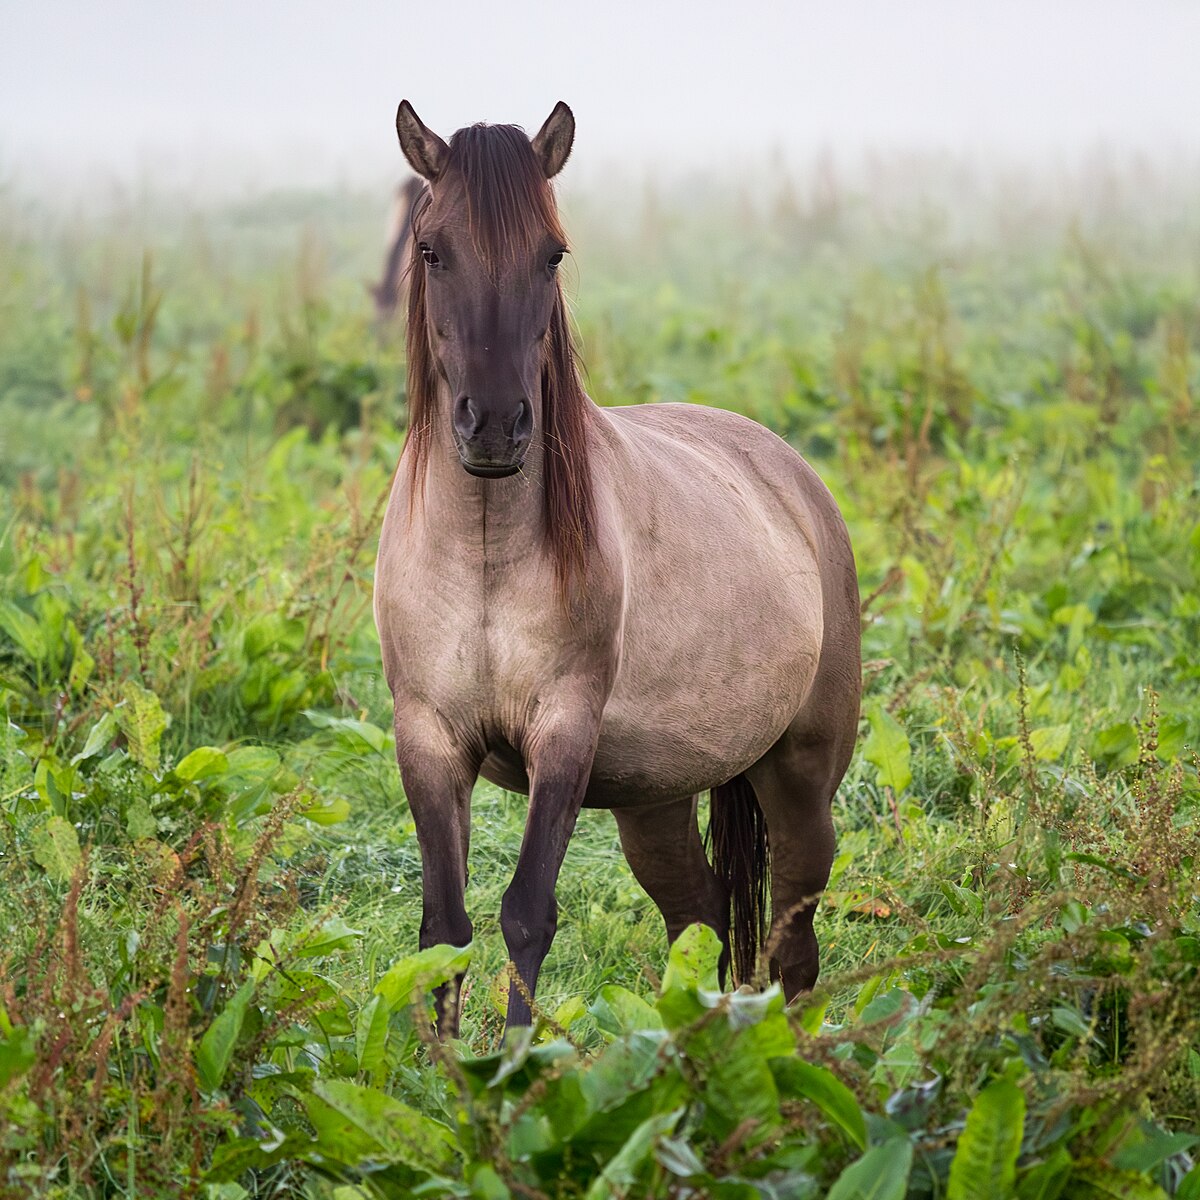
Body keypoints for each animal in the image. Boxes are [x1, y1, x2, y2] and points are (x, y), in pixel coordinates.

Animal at [374, 98, 864, 1032]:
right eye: (432, 249)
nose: (496, 427)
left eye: (552, 253)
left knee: (794, 943)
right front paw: (441, 1065)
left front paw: (516, 1061)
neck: (485, 554)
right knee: (700, 918)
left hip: (799, 777)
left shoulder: (562, 732)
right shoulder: (429, 737)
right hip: (655, 798)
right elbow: (442, 929)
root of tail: (794, 477)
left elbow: (526, 913)